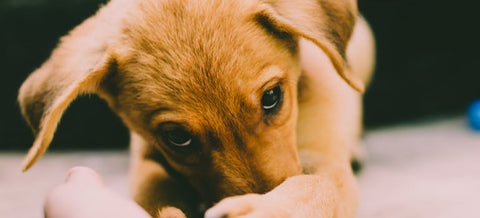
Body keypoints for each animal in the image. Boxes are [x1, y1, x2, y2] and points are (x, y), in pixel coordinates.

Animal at [17, 0, 376, 217]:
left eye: (272, 97)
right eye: (177, 137)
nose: (261, 193)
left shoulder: (324, 154)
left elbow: (316, 185)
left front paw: (262, 209)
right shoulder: (148, 162)